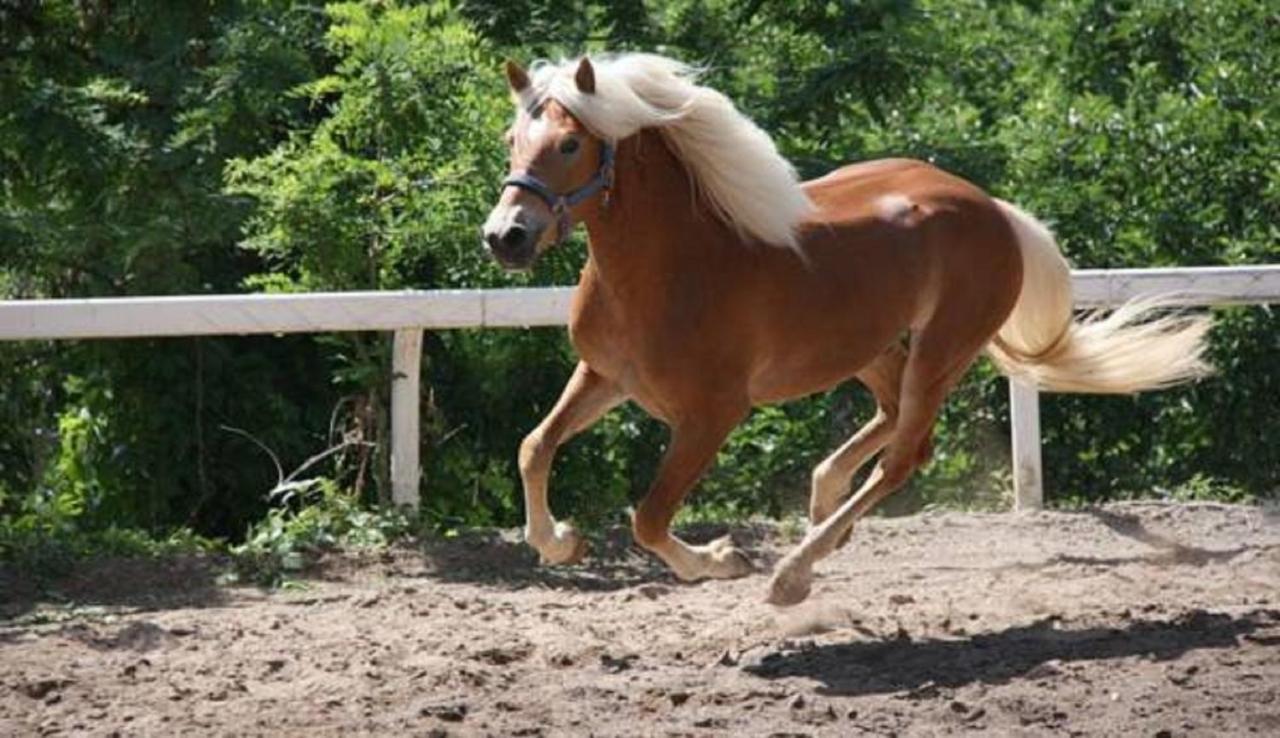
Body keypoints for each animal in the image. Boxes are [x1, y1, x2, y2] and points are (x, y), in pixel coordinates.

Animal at [481, 53, 1208, 603]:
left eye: (570, 143)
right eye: (512, 143)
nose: (505, 237)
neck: (670, 266)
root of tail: (994, 210)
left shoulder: (712, 414)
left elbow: (651, 518)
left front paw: (722, 559)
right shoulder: (604, 375)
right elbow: (534, 447)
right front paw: (560, 542)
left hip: (943, 348)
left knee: (905, 454)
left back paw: (792, 573)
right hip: (866, 345)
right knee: (890, 422)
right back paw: (825, 509)